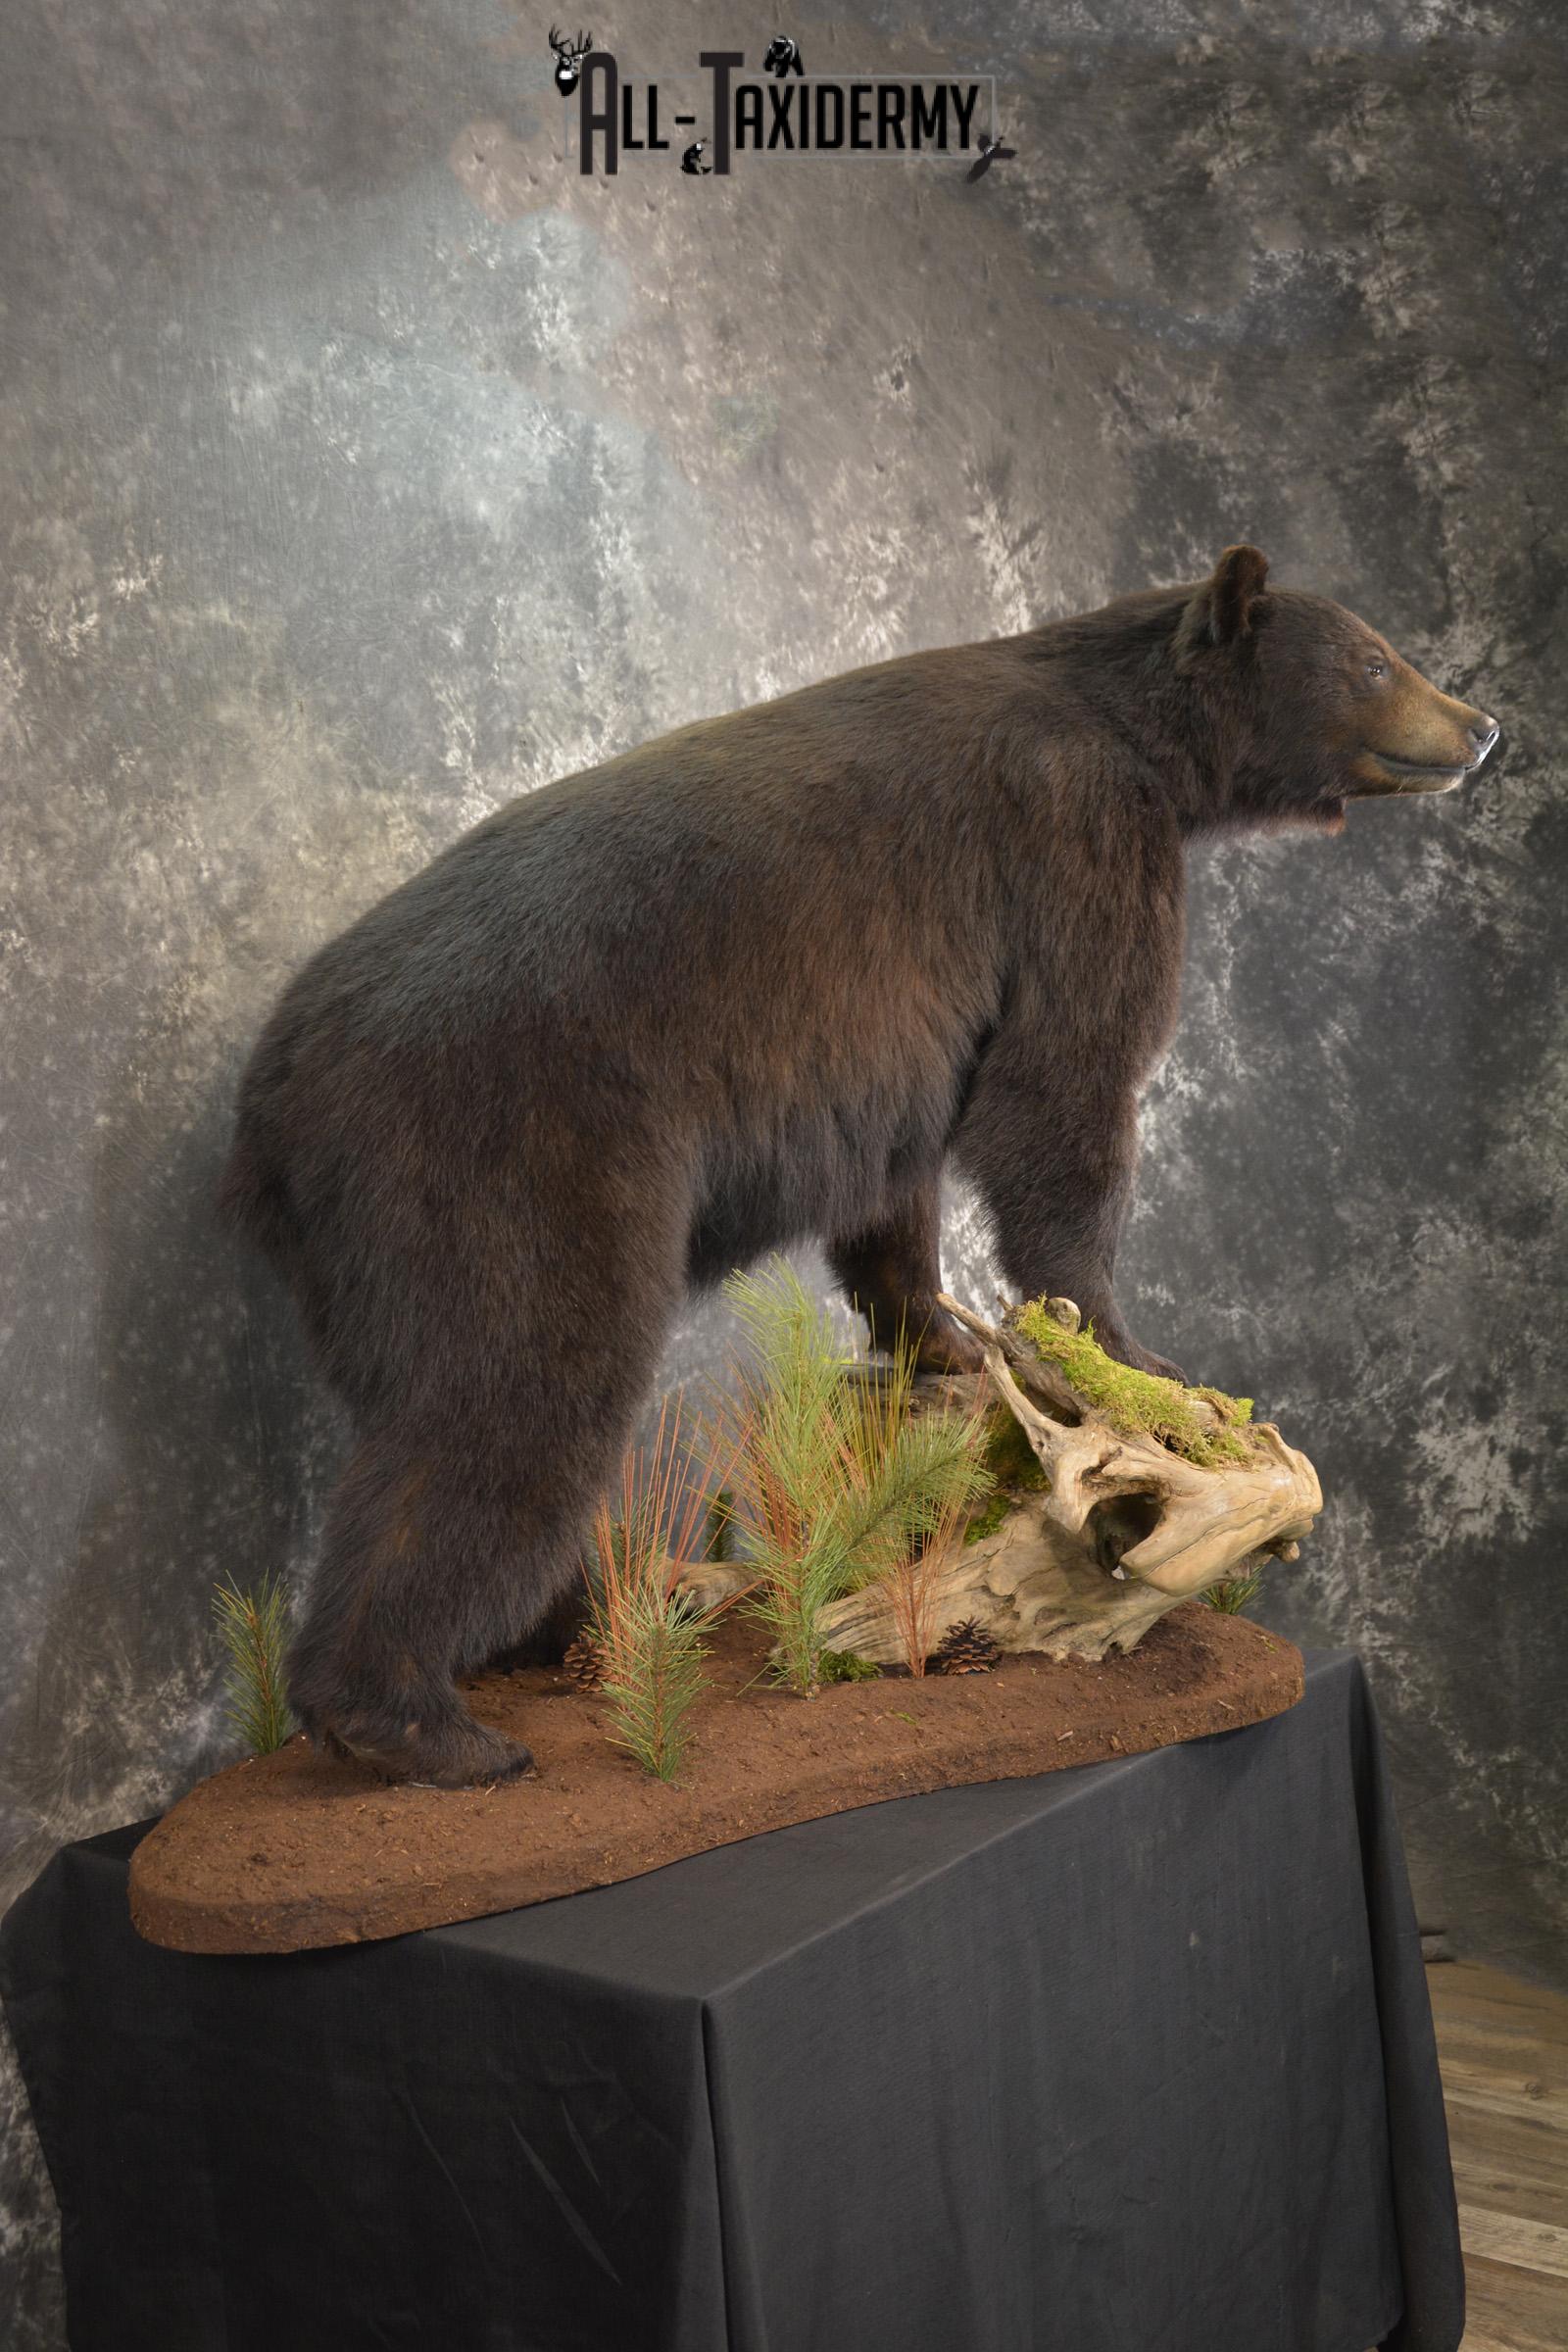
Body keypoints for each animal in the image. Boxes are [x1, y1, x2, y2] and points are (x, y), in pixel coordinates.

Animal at [221, 544, 1498, 1786]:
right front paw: (1131, 1350)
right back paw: (422, 1724)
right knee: (515, 1393)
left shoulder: (898, 1043)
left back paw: (567, 1629)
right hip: (507, 1150)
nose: (1480, 724)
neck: (1137, 734)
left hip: (360, 1249)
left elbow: (900, 1190)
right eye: (1377, 661)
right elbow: (1064, 1084)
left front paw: (940, 1336)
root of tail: (273, 1103)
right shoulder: (1072, 838)